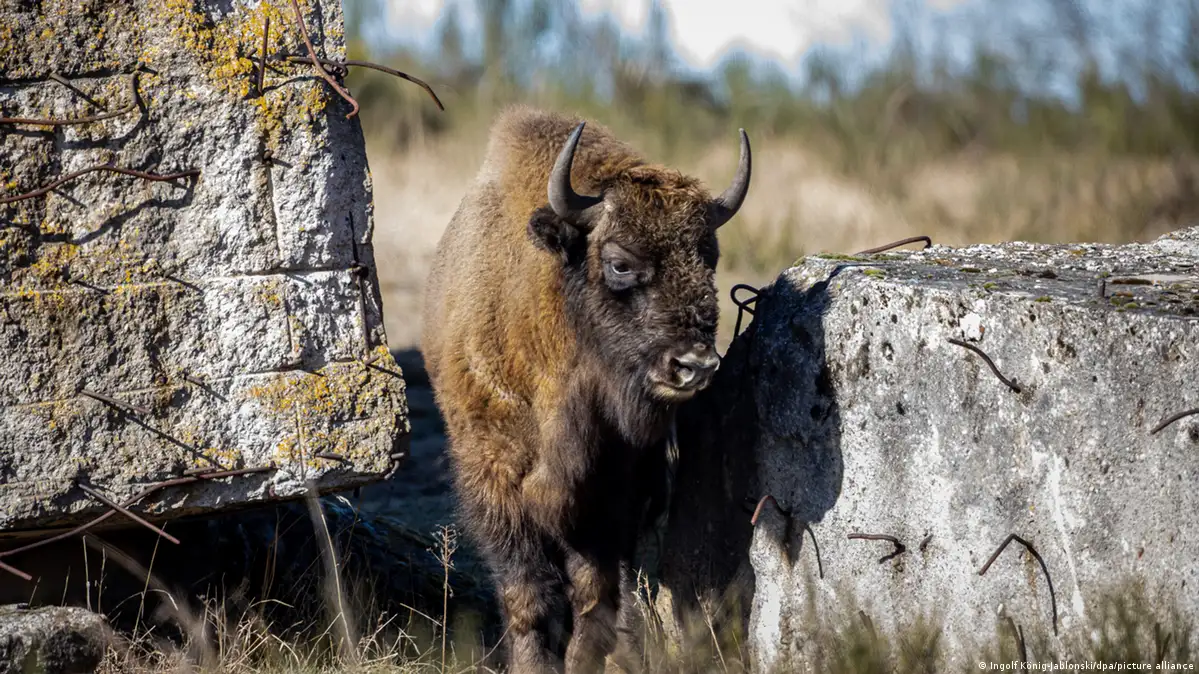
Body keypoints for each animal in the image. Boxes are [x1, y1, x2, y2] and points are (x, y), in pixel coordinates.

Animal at [421, 106, 751, 673]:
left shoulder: (614, 484)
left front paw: (588, 656)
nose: (695, 366)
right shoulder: (497, 476)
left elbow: (595, 590)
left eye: (708, 258)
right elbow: (528, 592)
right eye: (620, 263)